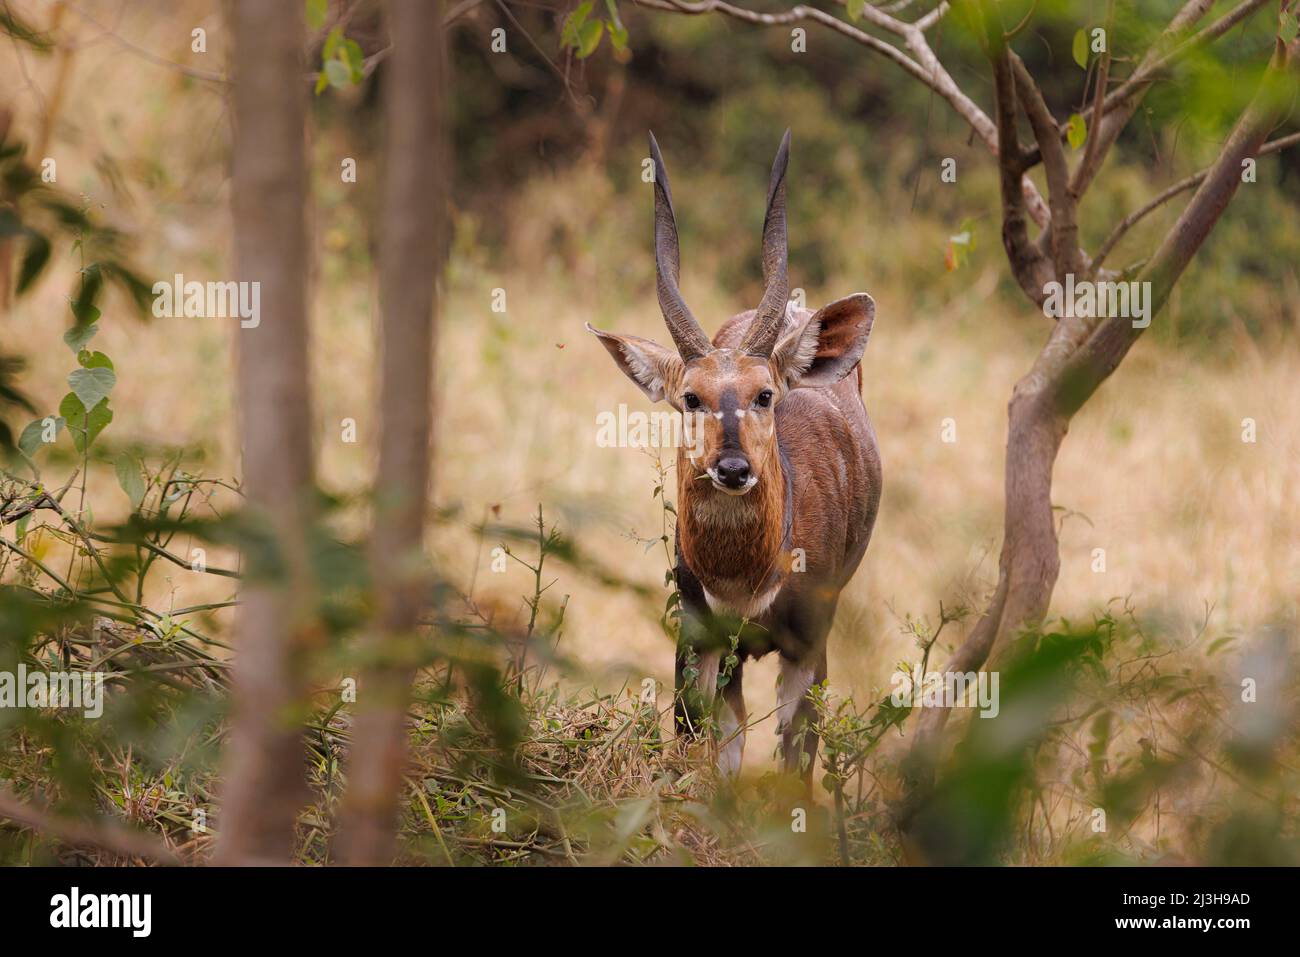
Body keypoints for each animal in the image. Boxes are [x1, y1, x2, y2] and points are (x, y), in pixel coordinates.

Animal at [590, 128, 883, 785]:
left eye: (764, 394)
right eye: (689, 397)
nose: (732, 468)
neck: (749, 577)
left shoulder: (809, 644)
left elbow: (794, 761)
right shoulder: (699, 639)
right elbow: (706, 749)